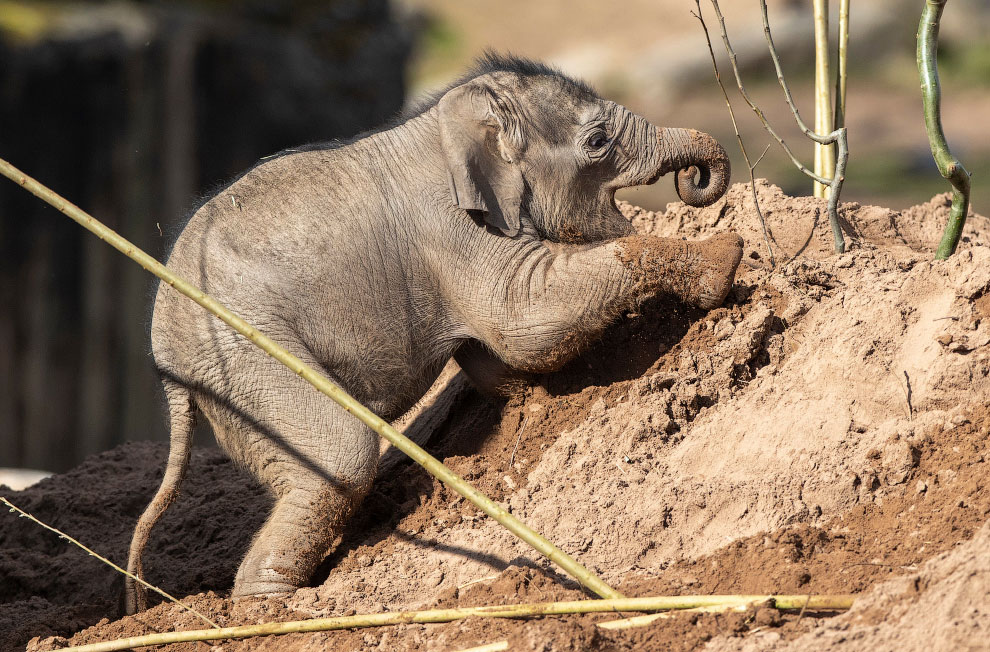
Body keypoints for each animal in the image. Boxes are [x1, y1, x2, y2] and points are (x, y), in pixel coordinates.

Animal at [126, 52, 744, 612]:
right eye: (597, 140)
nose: (697, 179)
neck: (447, 122)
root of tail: (165, 359)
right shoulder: (455, 230)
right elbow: (524, 318)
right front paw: (727, 257)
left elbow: (496, 352)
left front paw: (533, 407)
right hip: (246, 353)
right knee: (340, 458)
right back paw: (275, 610)